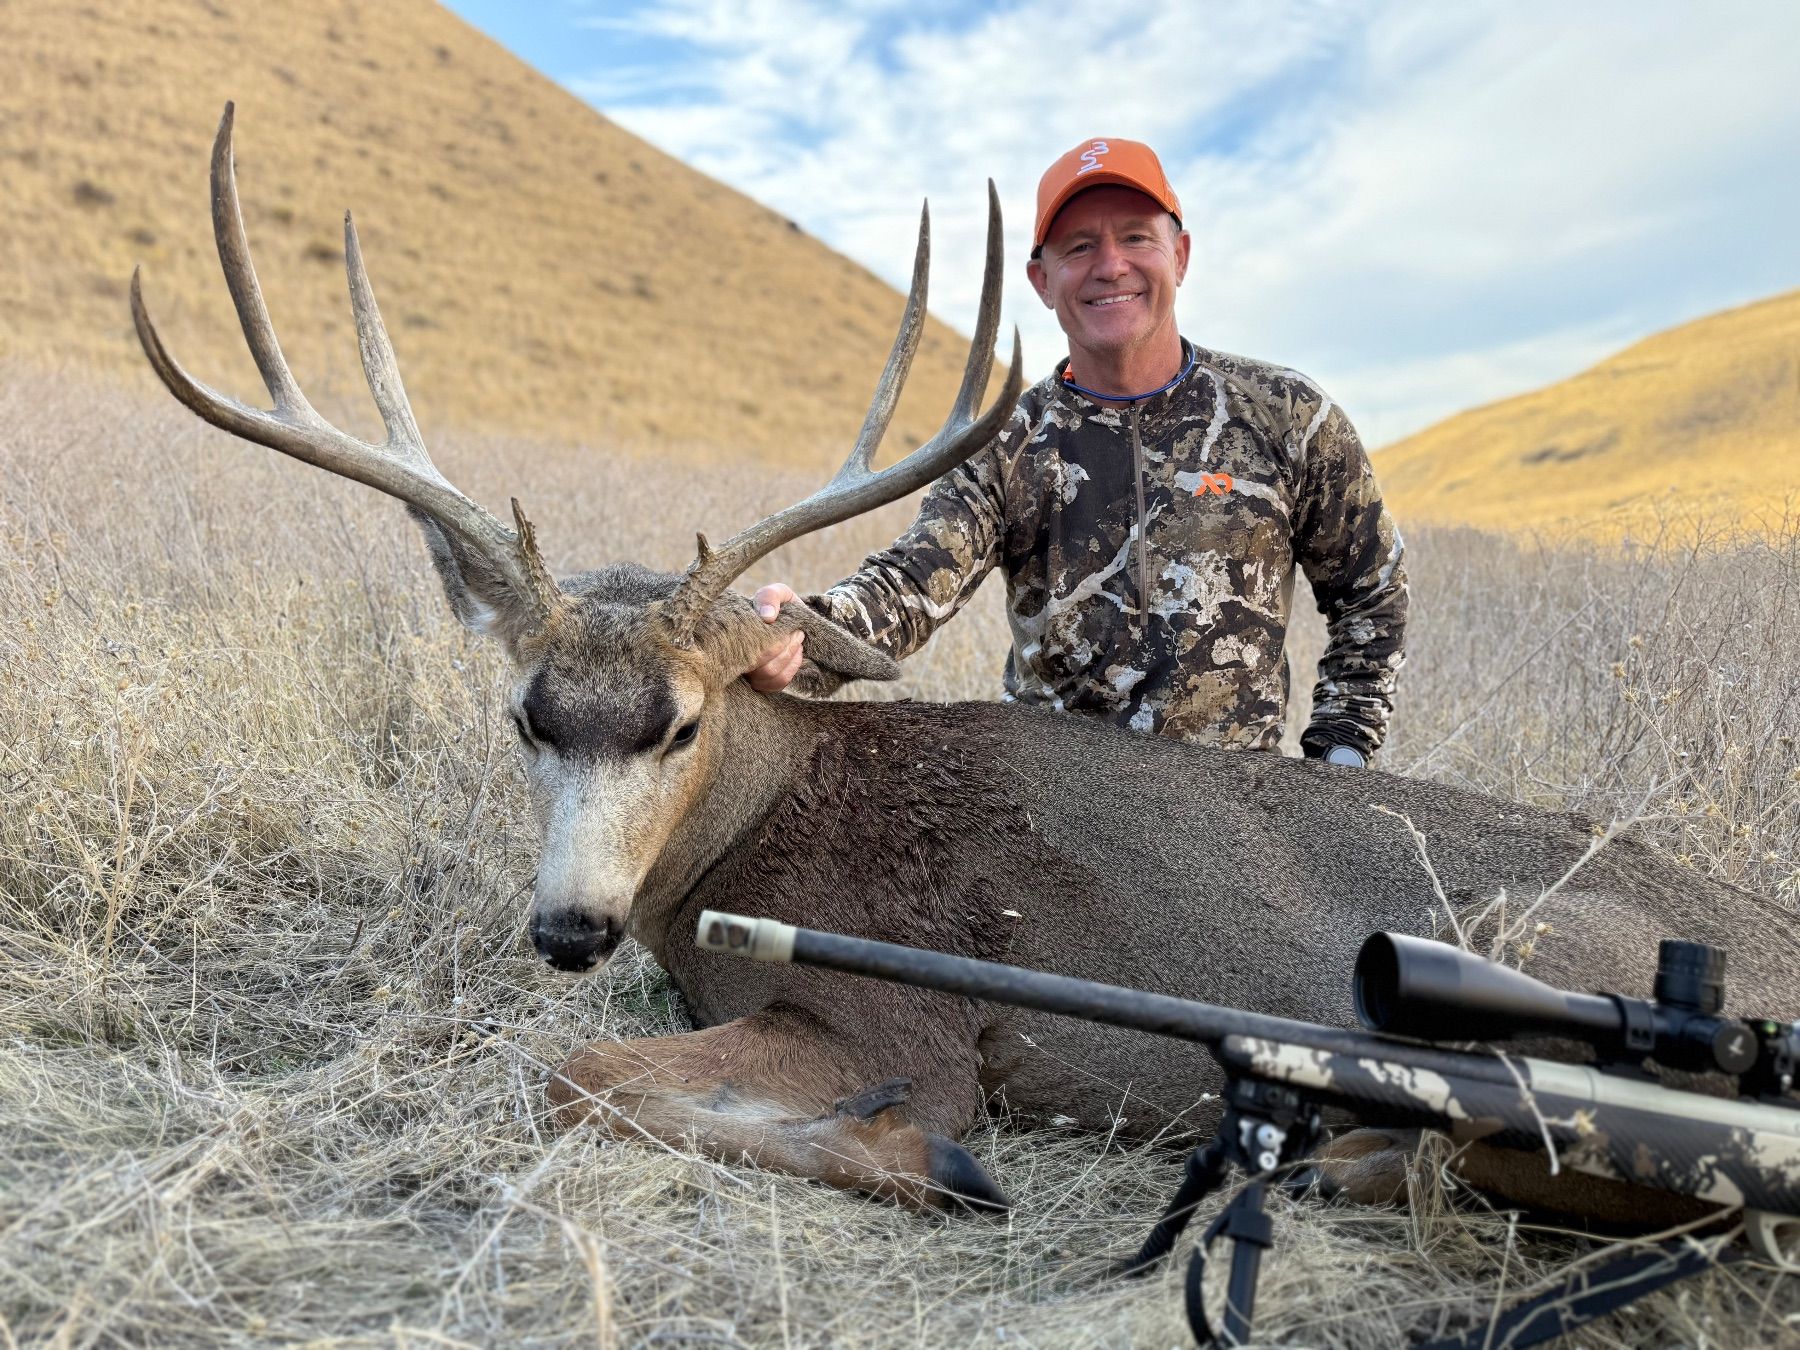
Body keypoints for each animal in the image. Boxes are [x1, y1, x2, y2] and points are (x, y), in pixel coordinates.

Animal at [133, 106, 1800, 1222]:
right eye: (526, 717)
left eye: (679, 725)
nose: (569, 925)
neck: (756, 831)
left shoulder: (901, 1018)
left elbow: (582, 1077)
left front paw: (931, 1160)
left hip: (1530, 955)